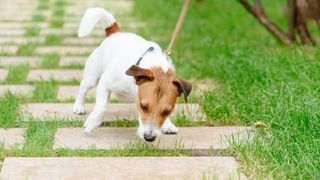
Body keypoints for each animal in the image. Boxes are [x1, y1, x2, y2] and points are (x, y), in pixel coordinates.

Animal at [73, 7, 191, 142]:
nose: (149, 138)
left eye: (167, 111)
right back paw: (78, 106)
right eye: (143, 106)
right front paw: (92, 123)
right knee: (83, 87)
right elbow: (100, 108)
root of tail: (116, 33)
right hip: (92, 77)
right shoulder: (105, 83)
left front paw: (168, 124)